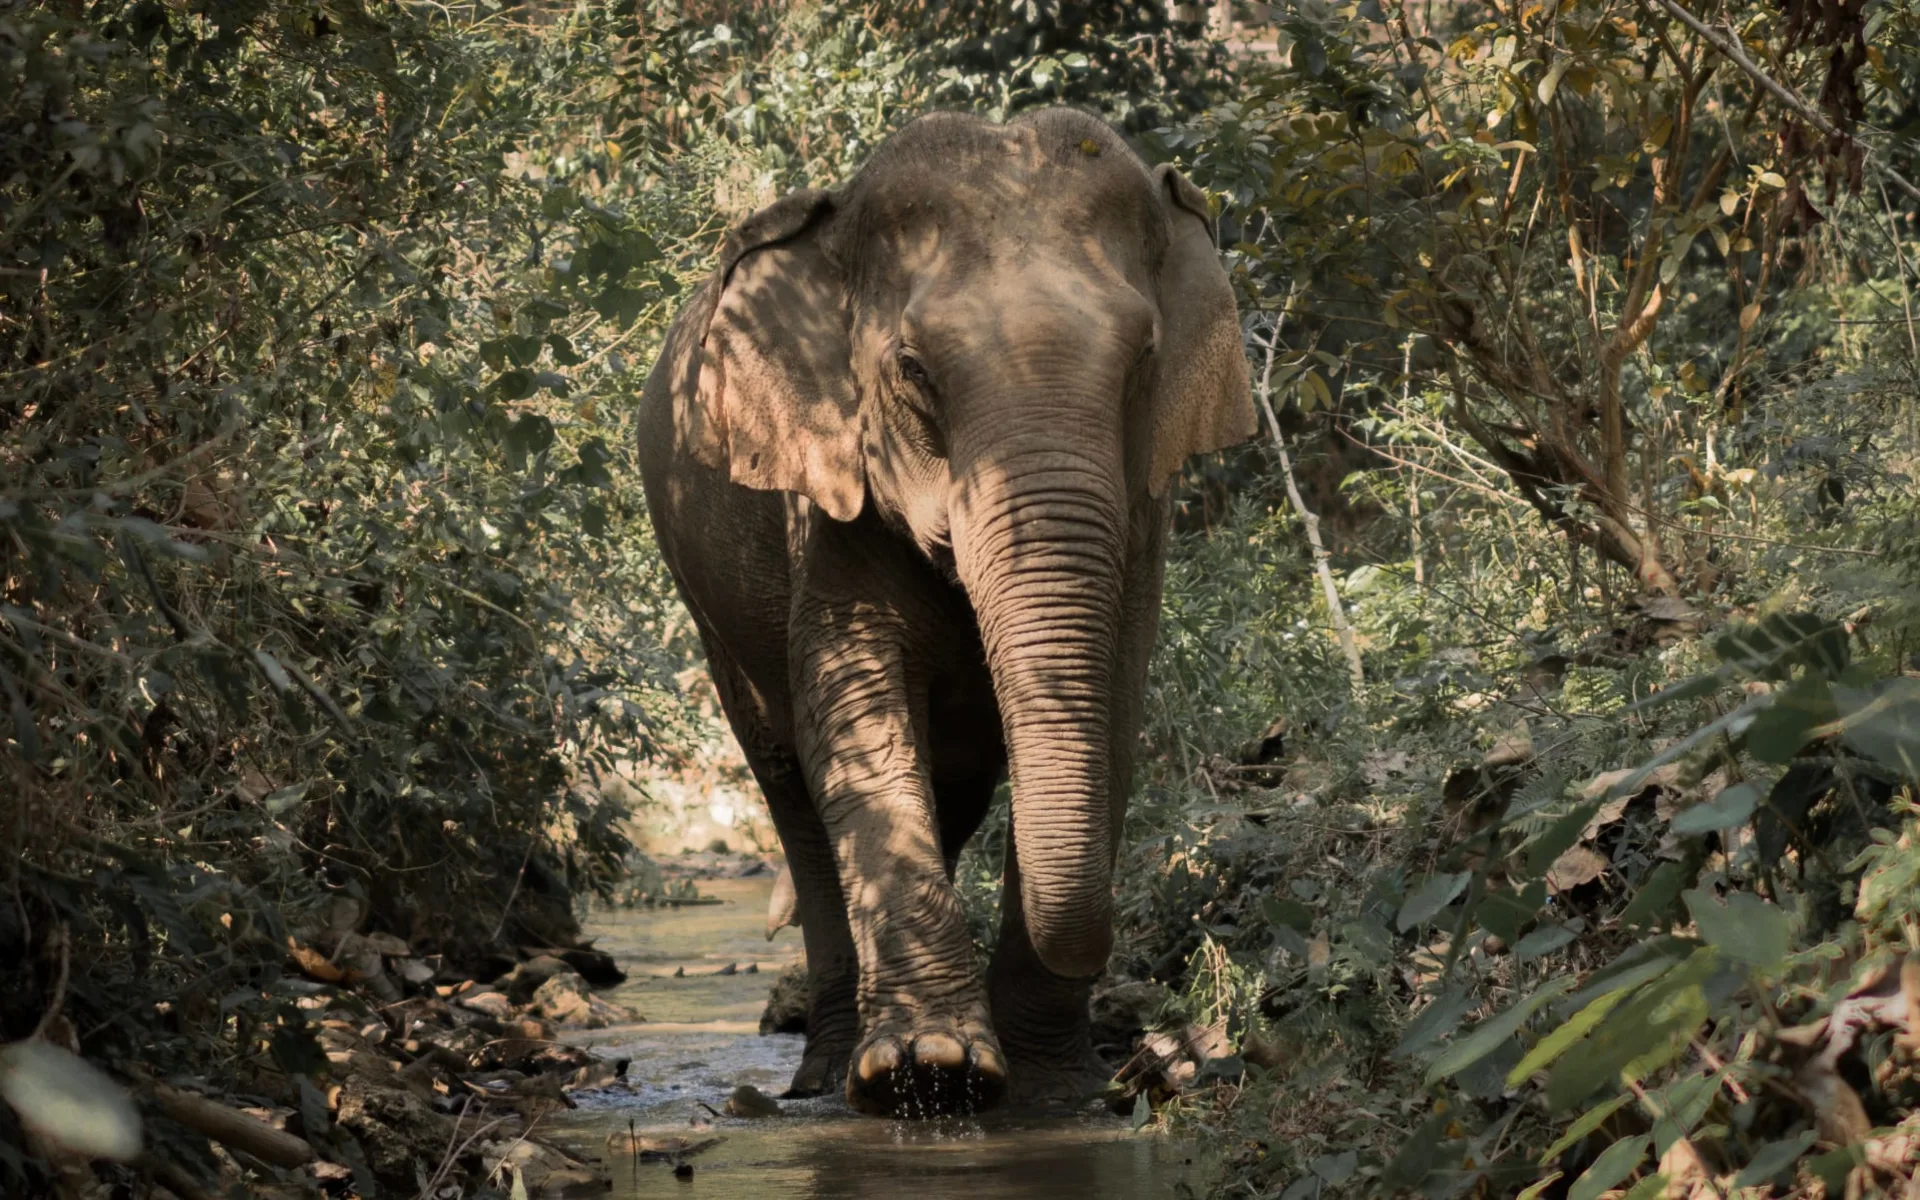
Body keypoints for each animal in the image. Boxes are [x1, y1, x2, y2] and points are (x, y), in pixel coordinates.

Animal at [637, 107, 1251, 1121]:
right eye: (914, 369)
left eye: (1145, 359)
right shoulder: (827, 495)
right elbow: (857, 711)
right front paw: (926, 1071)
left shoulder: (1144, 515)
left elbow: (1115, 709)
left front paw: (1048, 1087)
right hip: (712, 615)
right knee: (792, 790)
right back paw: (824, 1074)